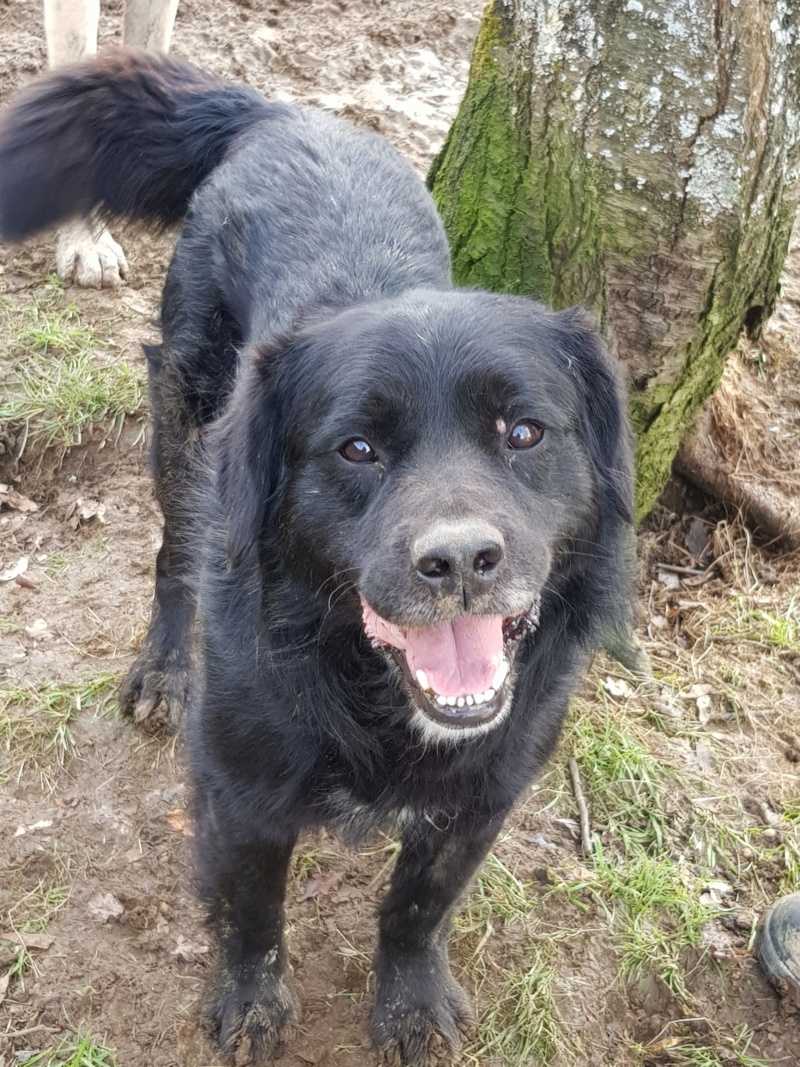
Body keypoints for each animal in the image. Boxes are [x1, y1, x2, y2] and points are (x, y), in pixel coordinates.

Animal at [0, 50, 631, 1067]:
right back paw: (163, 666)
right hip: (183, 418)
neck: (364, 682)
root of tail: (279, 112)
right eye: (357, 449)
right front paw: (252, 1007)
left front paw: (410, 1001)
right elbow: (253, 910)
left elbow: (418, 906)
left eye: (525, 431)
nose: (462, 560)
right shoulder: (239, 787)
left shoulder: (485, 794)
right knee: (175, 550)